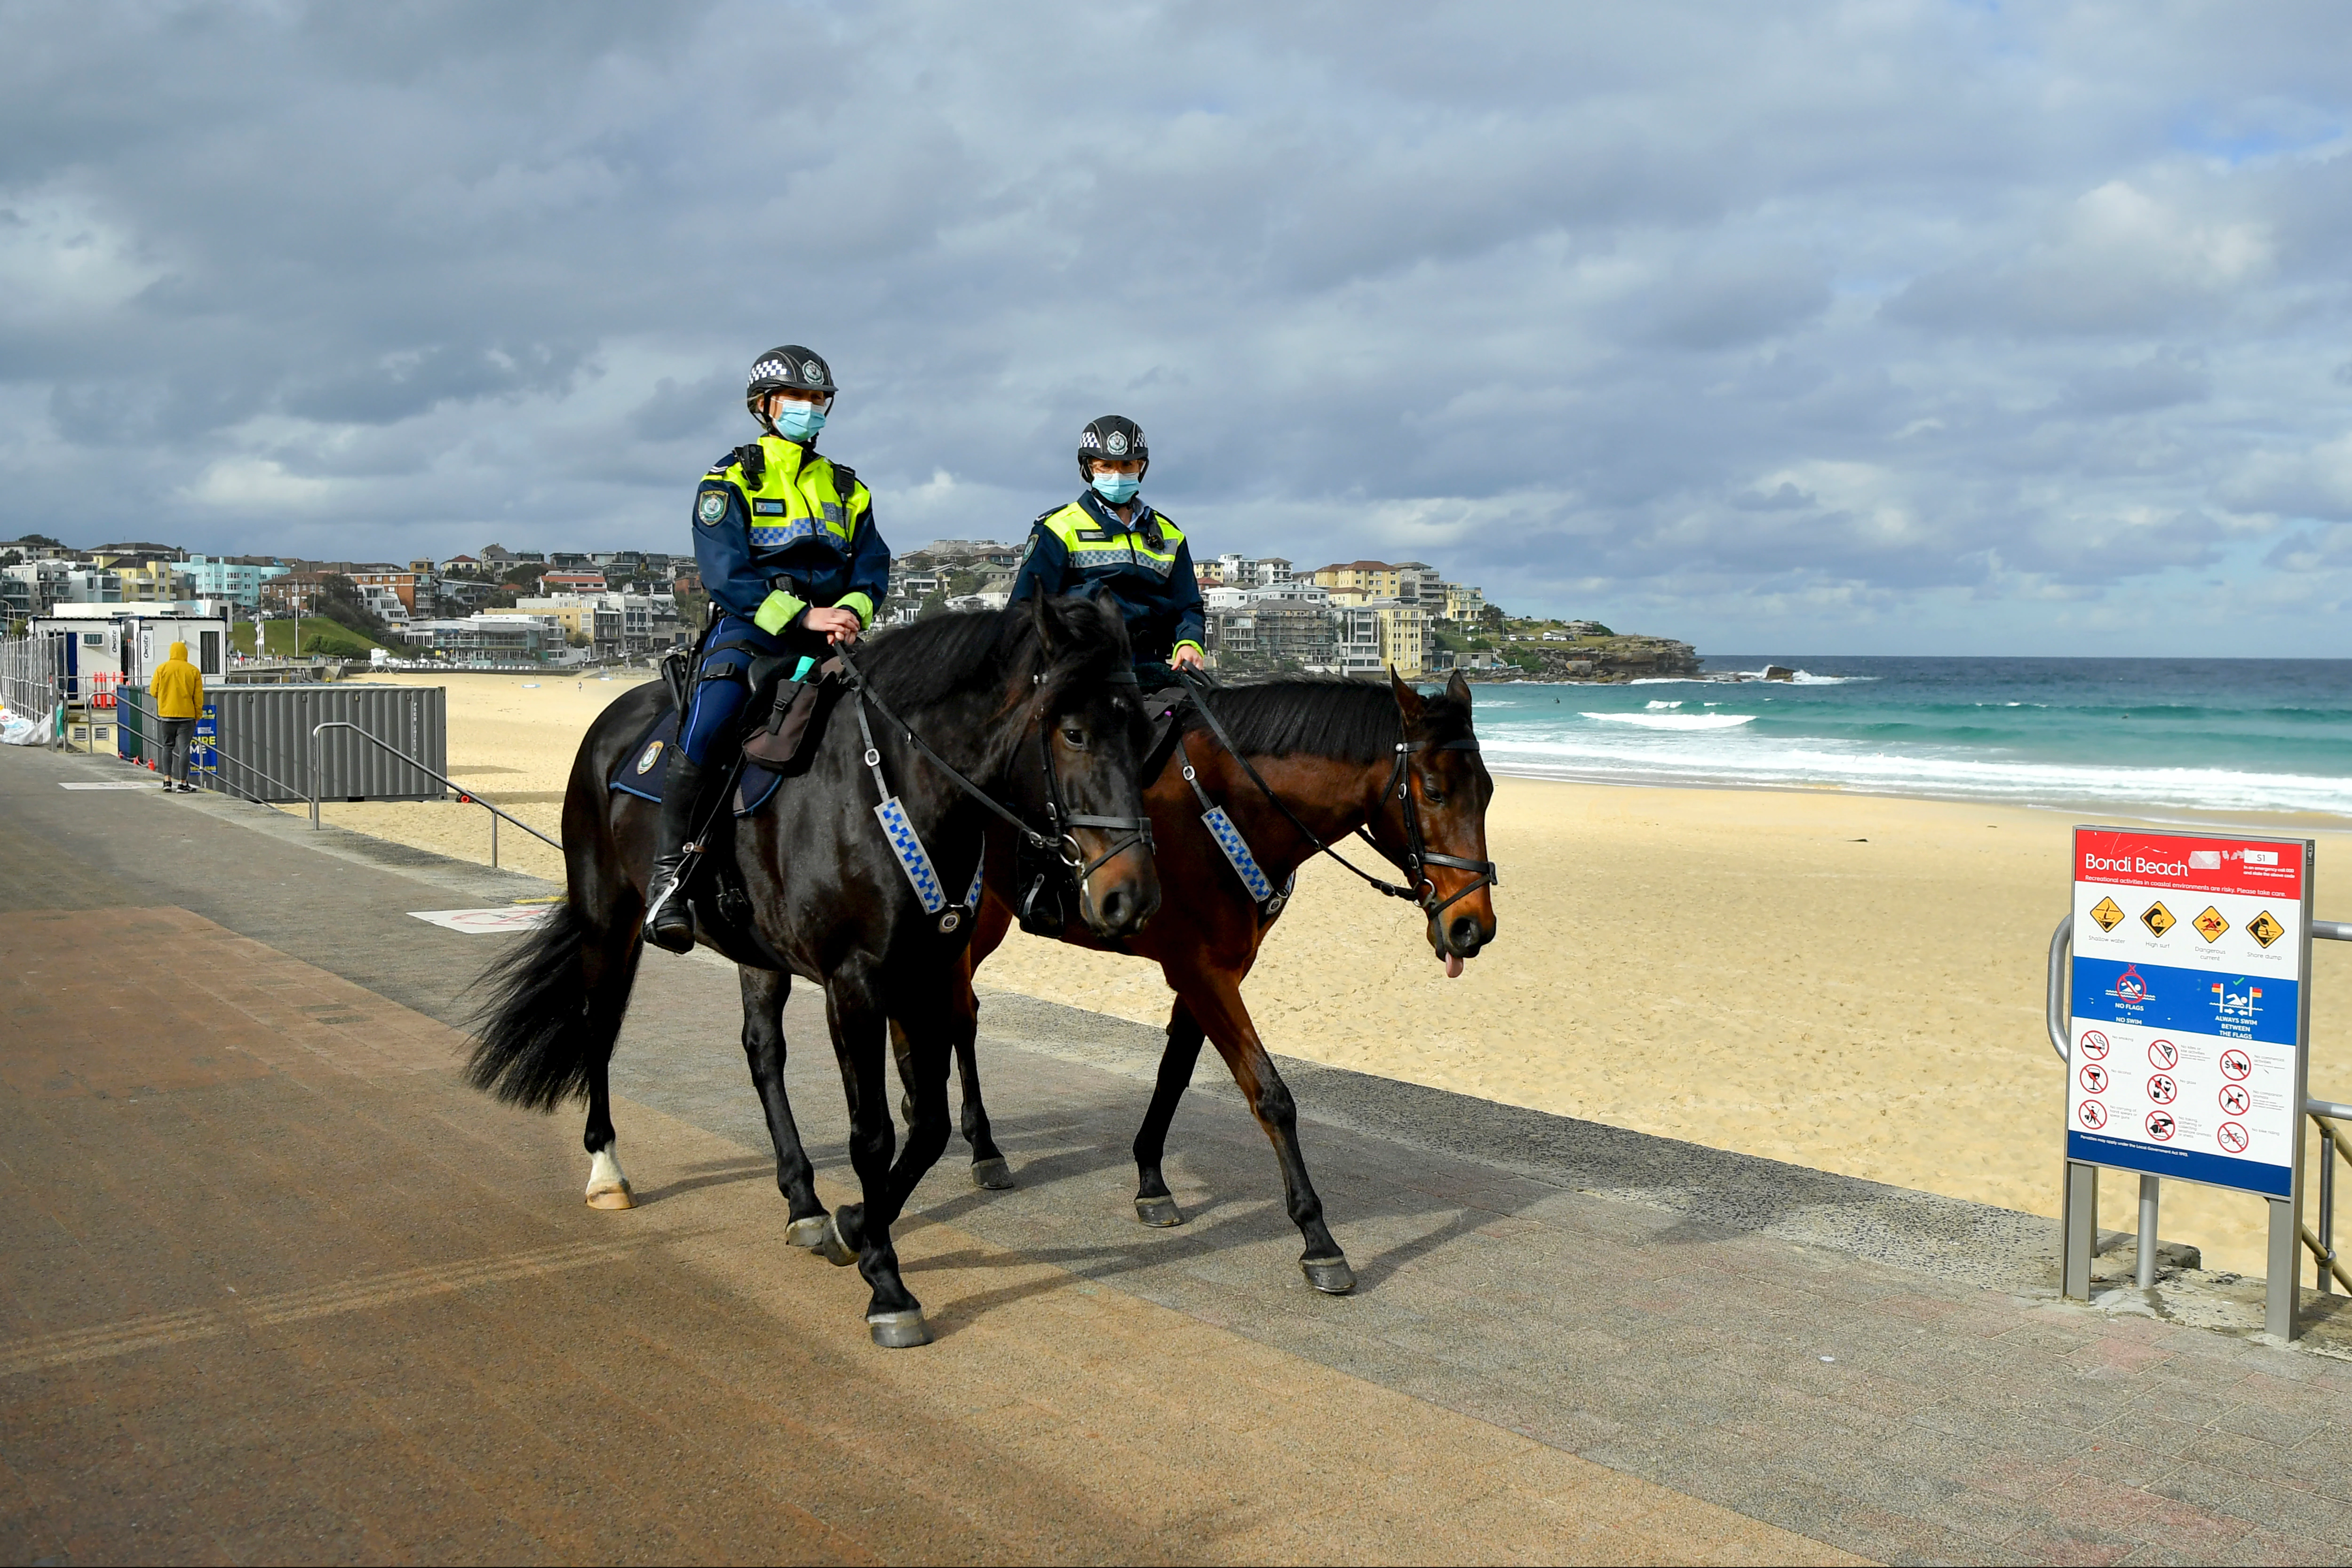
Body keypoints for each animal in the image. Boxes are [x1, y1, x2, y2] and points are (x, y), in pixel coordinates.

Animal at [459, 602, 1157, 1354]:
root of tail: (614, 718)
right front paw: (886, 1284)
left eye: (1143, 733)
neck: (892, 786)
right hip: (606, 919)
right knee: (599, 1027)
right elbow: (873, 1134)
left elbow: (929, 1125)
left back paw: (803, 1200)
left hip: (757, 956)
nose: (1131, 895)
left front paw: (853, 1225)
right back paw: (607, 1170)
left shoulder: (926, 975)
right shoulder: (855, 986)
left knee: (763, 1053)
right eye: (1075, 732)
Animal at [946, 668, 1496, 1297]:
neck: (1218, 808)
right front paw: (1317, 1236)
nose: (1472, 926)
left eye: (1487, 792)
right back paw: (980, 1144)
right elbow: (1270, 1096)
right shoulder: (1201, 971)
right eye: (1433, 791)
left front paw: (1150, 1179)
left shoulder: (1215, 970)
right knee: (958, 1015)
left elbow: (1175, 1073)